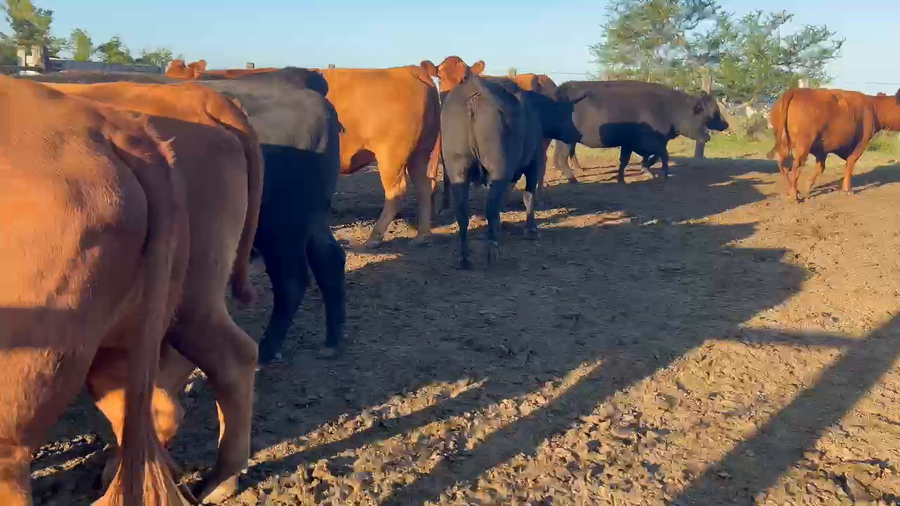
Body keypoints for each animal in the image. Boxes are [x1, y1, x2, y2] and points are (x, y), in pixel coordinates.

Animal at [437, 57, 582, 269]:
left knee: (462, 211)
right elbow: (528, 196)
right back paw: (493, 250)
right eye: (566, 114)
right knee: (490, 207)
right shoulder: (534, 163)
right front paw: (531, 230)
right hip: (499, 171)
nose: (577, 134)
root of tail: (473, 94)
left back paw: (464, 258)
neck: (534, 110)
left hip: (458, 171)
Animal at [554, 80, 729, 184]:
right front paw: (656, 172)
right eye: (711, 114)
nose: (725, 124)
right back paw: (573, 179)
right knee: (561, 157)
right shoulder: (650, 141)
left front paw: (629, 176)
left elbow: (629, 160)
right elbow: (661, 155)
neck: (669, 108)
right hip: (567, 140)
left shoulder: (630, 143)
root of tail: (562, 88)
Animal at [768, 88, 900, 200]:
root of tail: (795, 91)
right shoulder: (861, 143)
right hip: (803, 144)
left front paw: (808, 186)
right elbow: (850, 164)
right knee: (796, 166)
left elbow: (820, 168)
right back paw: (794, 195)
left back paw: (792, 190)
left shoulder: (822, 150)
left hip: (784, 143)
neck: (874, 106)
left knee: (783, 165)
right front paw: (847, 190)